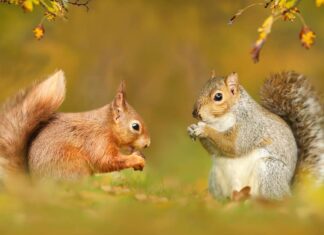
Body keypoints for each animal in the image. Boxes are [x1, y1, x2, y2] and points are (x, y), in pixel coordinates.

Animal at [189, 71, 322, 200]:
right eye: (202, 89)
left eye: (218, 96)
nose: (195, 113)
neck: (219, 121)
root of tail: (289, 191)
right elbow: (215, 150)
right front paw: (192, 128)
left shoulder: (250, 126)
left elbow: (234, 145)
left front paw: (203, 129)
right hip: (215, 178)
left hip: (269, 171)